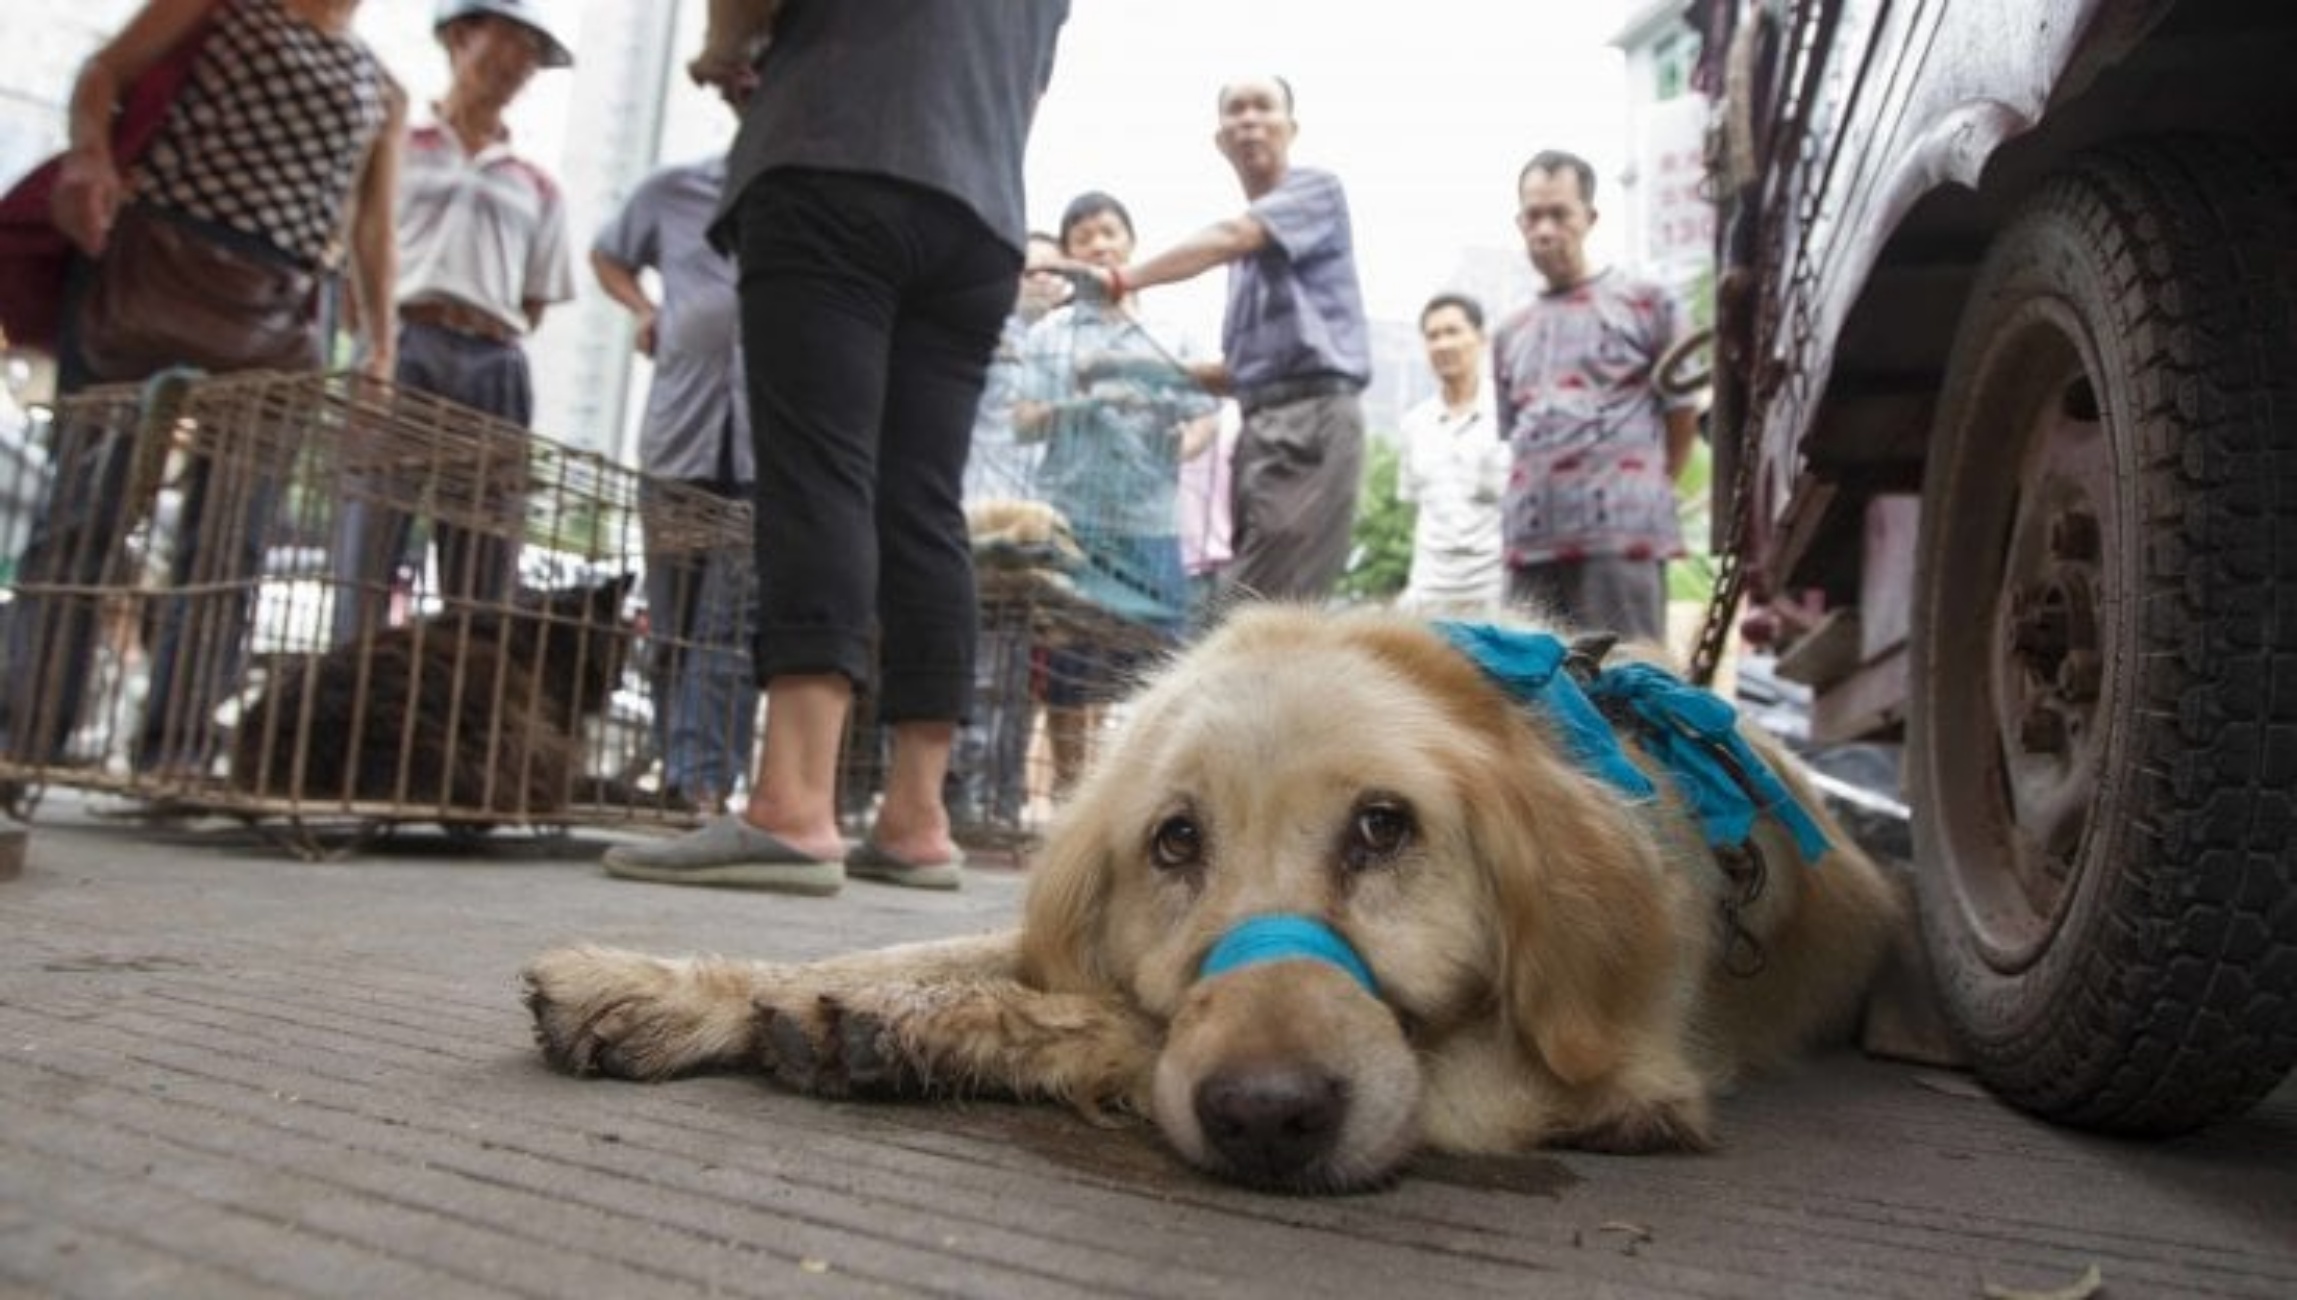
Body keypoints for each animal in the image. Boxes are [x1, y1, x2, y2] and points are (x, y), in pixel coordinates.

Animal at [521, 606, 1901, 1194]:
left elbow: (1126, 1024)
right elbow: (935, 945)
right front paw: (675, 988)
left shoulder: (1611, 1081)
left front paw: (909, 1024)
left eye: (1384, 827)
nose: (1265, 1118)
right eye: (1173, 840)